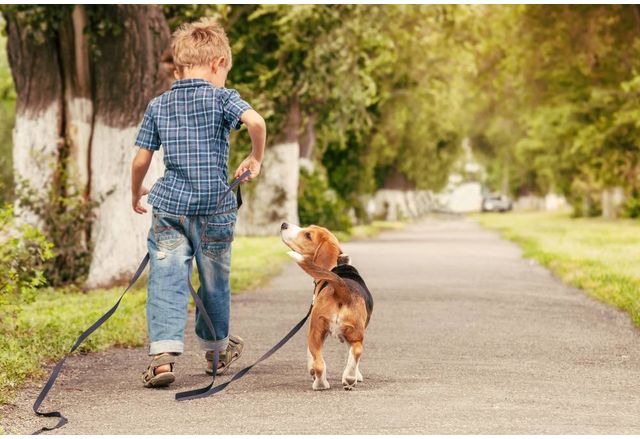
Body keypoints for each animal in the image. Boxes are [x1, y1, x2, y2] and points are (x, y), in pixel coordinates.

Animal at [278, 223, 372, 392]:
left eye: (308, 235)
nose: (284, 224)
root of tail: (342, 289)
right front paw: (357, 376)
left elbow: (311, 357)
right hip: (355, 334)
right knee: (356, 351)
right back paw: (349, 378)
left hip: (315, 332)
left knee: (319, 364)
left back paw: (320, 384)